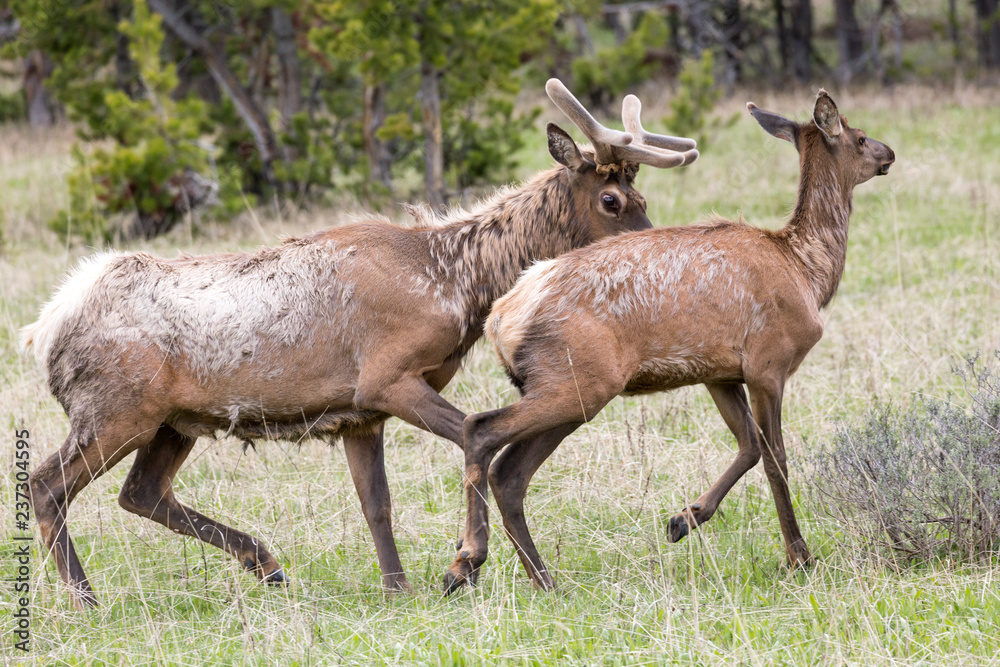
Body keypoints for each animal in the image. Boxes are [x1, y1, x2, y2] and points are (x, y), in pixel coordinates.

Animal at [20, 79, 699, 608]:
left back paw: (266, 564)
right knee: (46, 483)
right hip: (116, 411)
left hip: (173, 421)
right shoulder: (387, 376)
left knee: (141, 493)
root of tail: (46, 324)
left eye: (643, 197)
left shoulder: (359, 412)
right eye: (611, 199)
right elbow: (468, 437)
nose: (653, 249)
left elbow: (378, 502)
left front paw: (398, 587)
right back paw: (87, 598)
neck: (456, 283)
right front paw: (463, 562)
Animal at [443, 89, 895, 593]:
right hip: (578, 380)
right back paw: (465, 561)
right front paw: (799, 556)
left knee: (510, 473)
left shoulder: (720, 373)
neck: (806, 271)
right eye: (859, 137)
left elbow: (749, 446)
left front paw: (684, 517)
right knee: (479, 429)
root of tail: (500, 318)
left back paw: (542, 580)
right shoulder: (768, 362)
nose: (890, 153)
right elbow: (775, 458)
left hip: (568, 388)